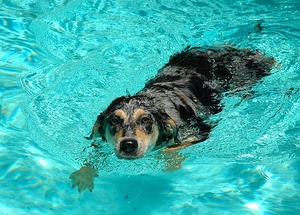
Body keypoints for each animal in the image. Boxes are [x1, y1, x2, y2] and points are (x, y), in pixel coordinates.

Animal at [69, 45, 274, 191]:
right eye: (114, 121)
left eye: (145, 120)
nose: (128, 144)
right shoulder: (102, 143)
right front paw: (84, 174)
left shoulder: (197, 132)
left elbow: (172, 148)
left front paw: (170, 162)